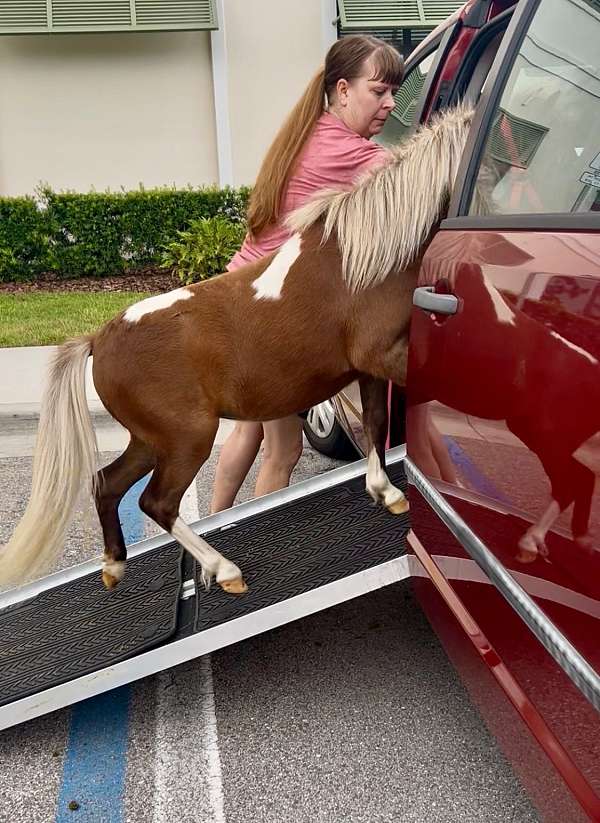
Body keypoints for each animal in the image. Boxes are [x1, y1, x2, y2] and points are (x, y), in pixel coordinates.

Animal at [0, 104, 474, 594]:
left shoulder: (368, 369)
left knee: (107, 484)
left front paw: (387, 492)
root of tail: (98, 340)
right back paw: (224, 570)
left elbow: (378, 422)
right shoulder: (385, 357)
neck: (362, 257)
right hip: (188, 439)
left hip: (151, 441)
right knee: (157, 503)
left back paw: (114, 566)